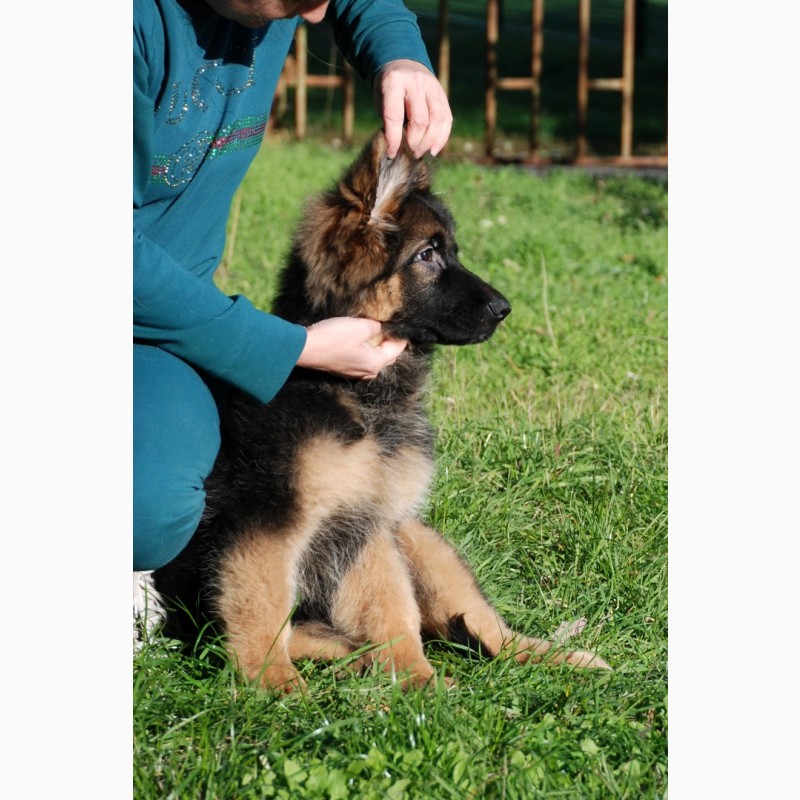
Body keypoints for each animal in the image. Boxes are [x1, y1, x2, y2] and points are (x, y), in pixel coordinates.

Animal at [153, 134, 608, 692]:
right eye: (428, 254)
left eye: (450, 251)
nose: (504, 309)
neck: (352, 393)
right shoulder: (268, 522)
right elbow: (266, 605)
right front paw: (276, 686)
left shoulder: (367, 524)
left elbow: (391, 607)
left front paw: (416, 679)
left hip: (416, 536)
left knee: (489, 629)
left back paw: (567, 660)